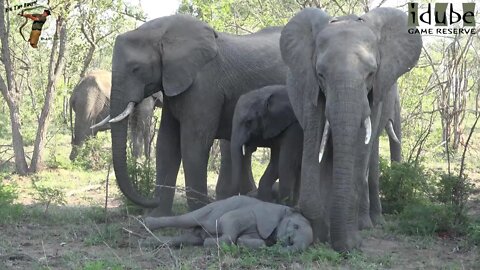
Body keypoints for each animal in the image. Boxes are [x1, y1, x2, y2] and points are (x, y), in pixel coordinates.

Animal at [109, 13, 286, 216]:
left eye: (136, 69)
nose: (152, 200)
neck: (163, 32)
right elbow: (166, 144)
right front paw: (158, 216)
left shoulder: (204, 85)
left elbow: (193, 143)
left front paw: (198, 213)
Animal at [144, 195, 314, 252]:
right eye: (296, 226)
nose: (289, 242)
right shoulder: (256, 214)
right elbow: (229, 220)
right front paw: (210, 243)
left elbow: (257, 241)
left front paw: (241, 242)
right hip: (213, 209)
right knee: (187, 219)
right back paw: (146, 224)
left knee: (186, 239)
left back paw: (148, 242)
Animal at [280, 7, 422, 252]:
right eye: (321, 75)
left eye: (371, 74)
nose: (349, 244)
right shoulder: (309, 86)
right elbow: (315, 140)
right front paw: (322, 235)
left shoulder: (376, 93)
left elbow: (361, 148)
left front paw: (350, 241)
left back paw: (368, 224)